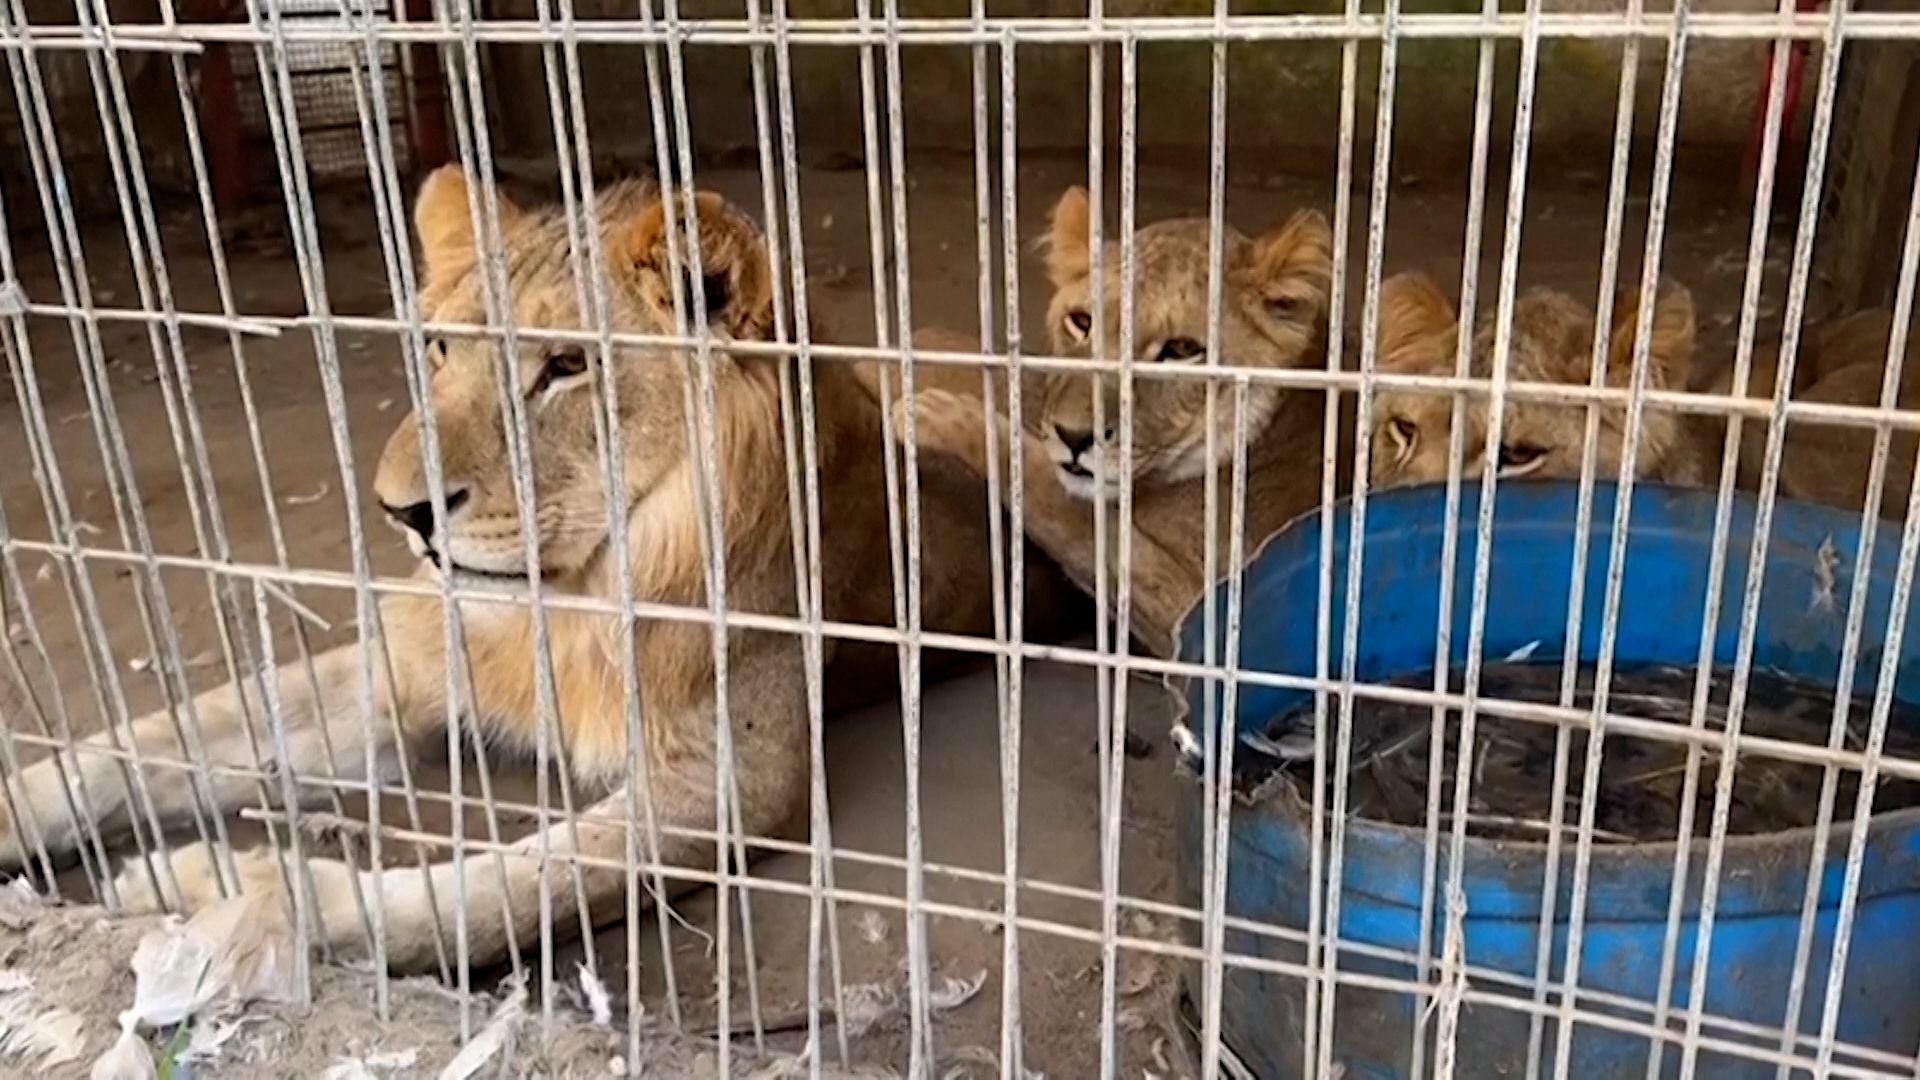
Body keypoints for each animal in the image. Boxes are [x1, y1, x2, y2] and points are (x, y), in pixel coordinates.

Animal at [0, 169, 1058, 973]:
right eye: (439, 346)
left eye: (562, 367)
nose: (402, 512)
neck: (569, 596)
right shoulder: (400, 672)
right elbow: (142, 745)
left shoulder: (726, 783)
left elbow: (499, 894)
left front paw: (246, 895)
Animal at [895, 186, 1346, 659]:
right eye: (1081, 322)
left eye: (1182, 349)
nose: (1073, 437)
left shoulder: (1210, 615)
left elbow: (1069, 512)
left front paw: (937, 415)